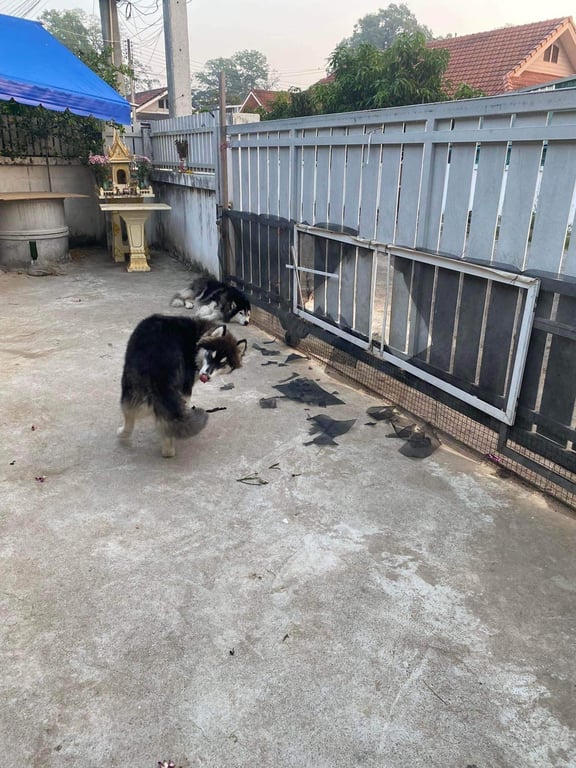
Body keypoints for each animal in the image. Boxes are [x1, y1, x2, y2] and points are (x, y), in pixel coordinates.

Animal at [117, 314, 247, 457]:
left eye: (223, 364)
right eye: (210, 355)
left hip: (130, 384)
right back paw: (169, 449)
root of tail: (156, 364)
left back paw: (123, 435)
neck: (198, 335)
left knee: (129, 413)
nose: (206, 376)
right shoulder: (186, 387)